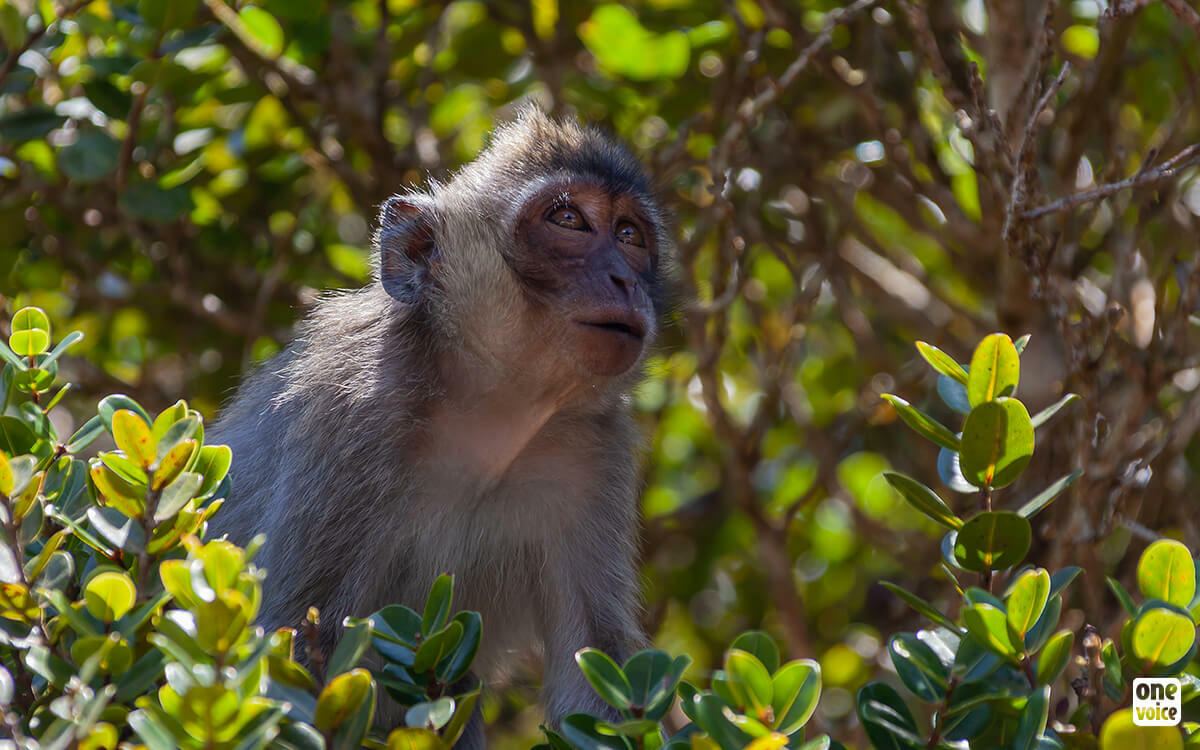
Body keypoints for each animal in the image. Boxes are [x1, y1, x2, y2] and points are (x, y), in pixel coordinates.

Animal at [207, 107, 671, 744]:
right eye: (568, 220)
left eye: (629, 236)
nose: (624, 280)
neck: (487, 411)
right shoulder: (351, 413)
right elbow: (300, 646)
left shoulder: (595, 452)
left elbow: (595, 676)